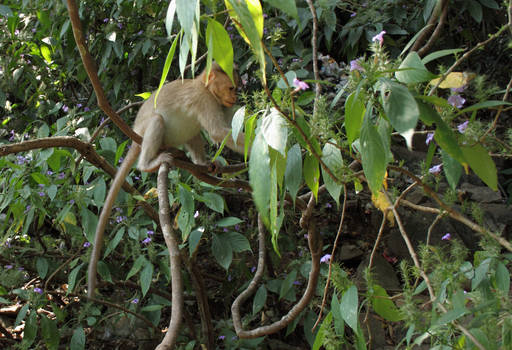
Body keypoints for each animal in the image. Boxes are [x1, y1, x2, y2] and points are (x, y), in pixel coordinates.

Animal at [87, 63, 246, 298]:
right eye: (231, 87)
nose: (235, 98)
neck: (205, 87)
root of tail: (136, 135)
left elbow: (224, 132)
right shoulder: (204, 99)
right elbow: (219, 132)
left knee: (192, 132)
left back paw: (201, 163)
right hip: (146, 133)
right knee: (158, 121)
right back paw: (148, 164)